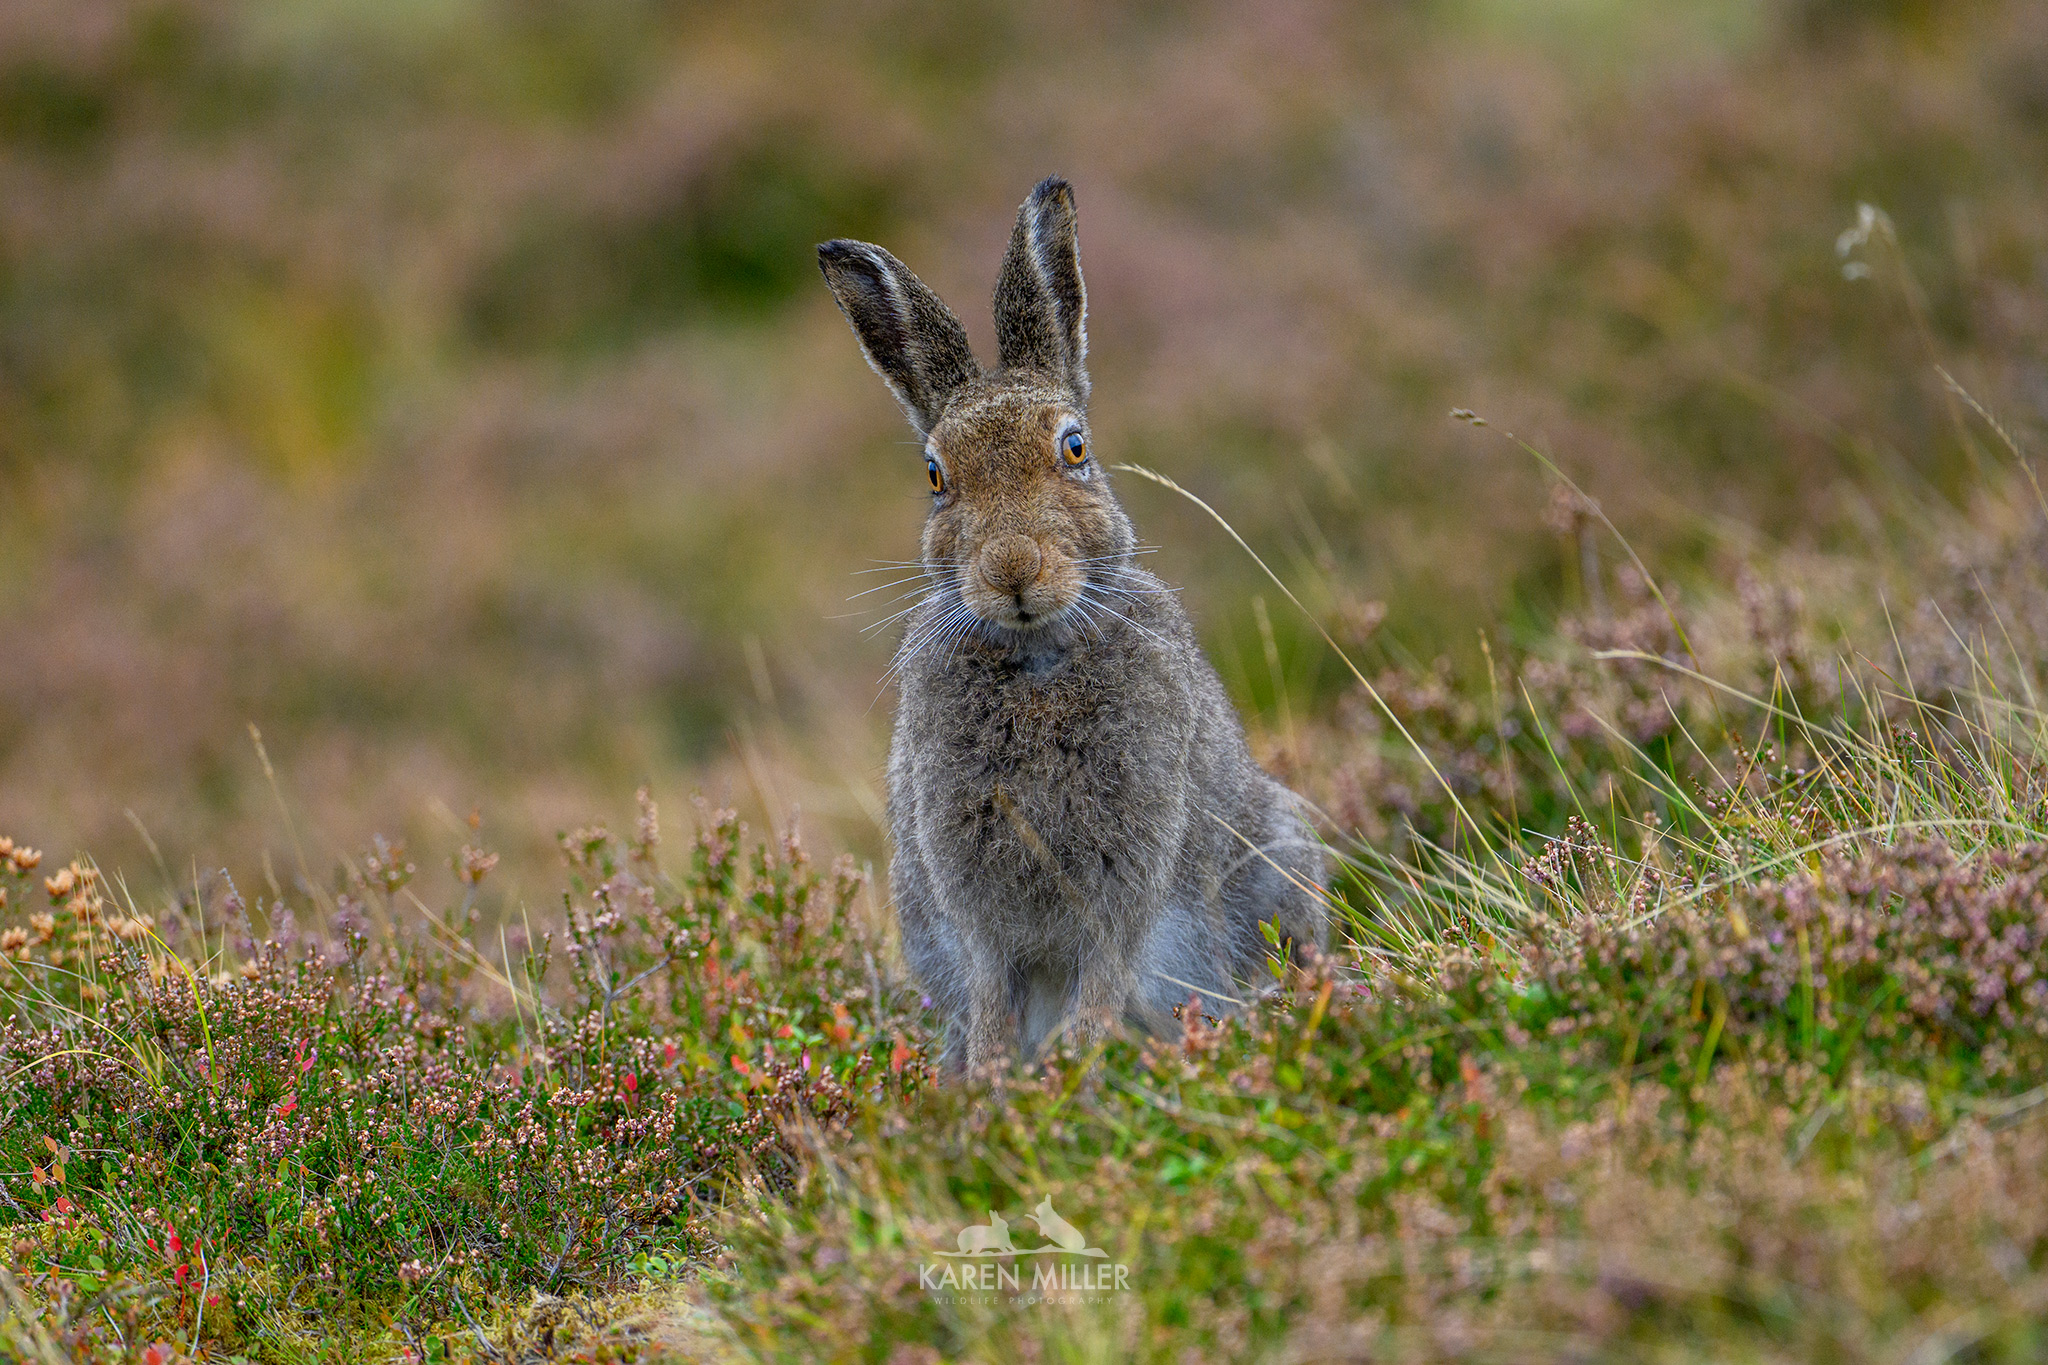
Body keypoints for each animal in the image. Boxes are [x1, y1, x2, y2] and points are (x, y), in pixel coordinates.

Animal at [817, 176, 1327, 1075]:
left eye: (1076, 448)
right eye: (936, 476)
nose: (1012, 567)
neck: (1036, 653)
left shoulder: (1126, 877)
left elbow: (1101, 980)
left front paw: (1076, 1070)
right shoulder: (974, 908)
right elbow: (994, 997)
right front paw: (991, 1083)